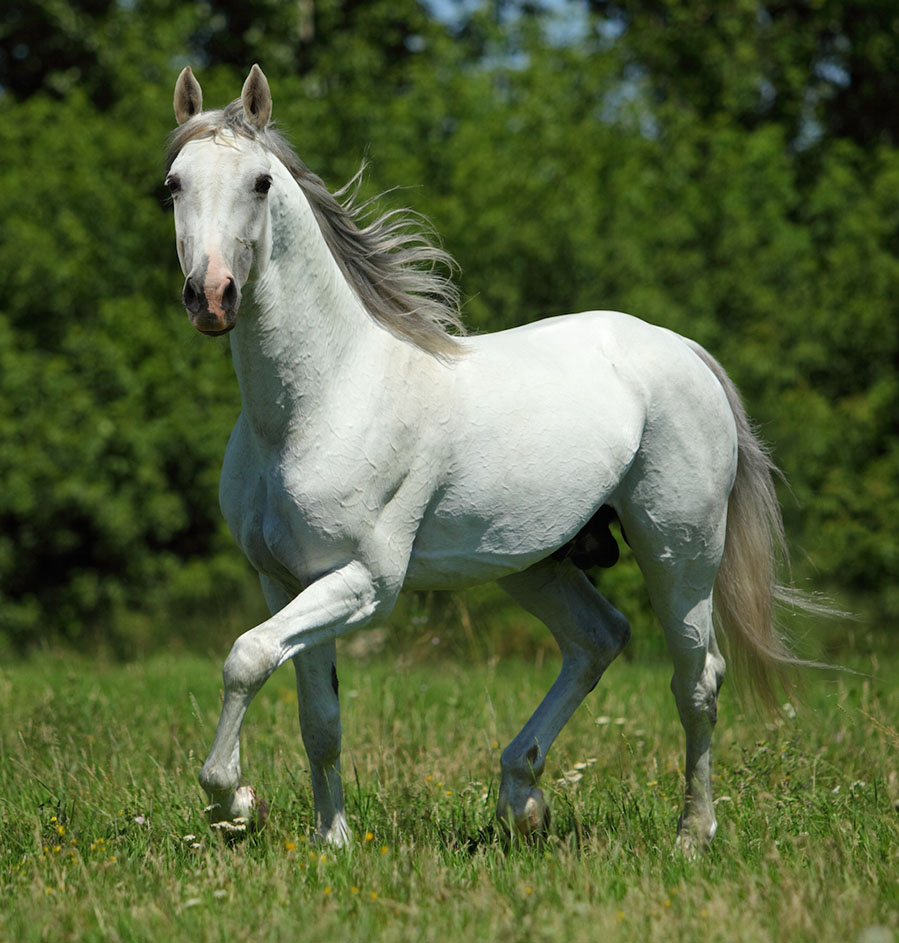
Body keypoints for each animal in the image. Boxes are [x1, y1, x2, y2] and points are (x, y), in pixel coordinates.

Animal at [167, 66, 816, 856]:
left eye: (260, 182)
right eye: (172, 184)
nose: (211, 297)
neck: (324, 397)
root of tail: (683, 350)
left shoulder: (365, 583)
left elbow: (246, 657)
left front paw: (235, 801)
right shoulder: (284, 580)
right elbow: (317, 718)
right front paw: (331, 843)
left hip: (678, 552)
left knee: (697, 681)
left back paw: (691, 834)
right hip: (534, 561)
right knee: (599, 639)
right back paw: (522, 797)